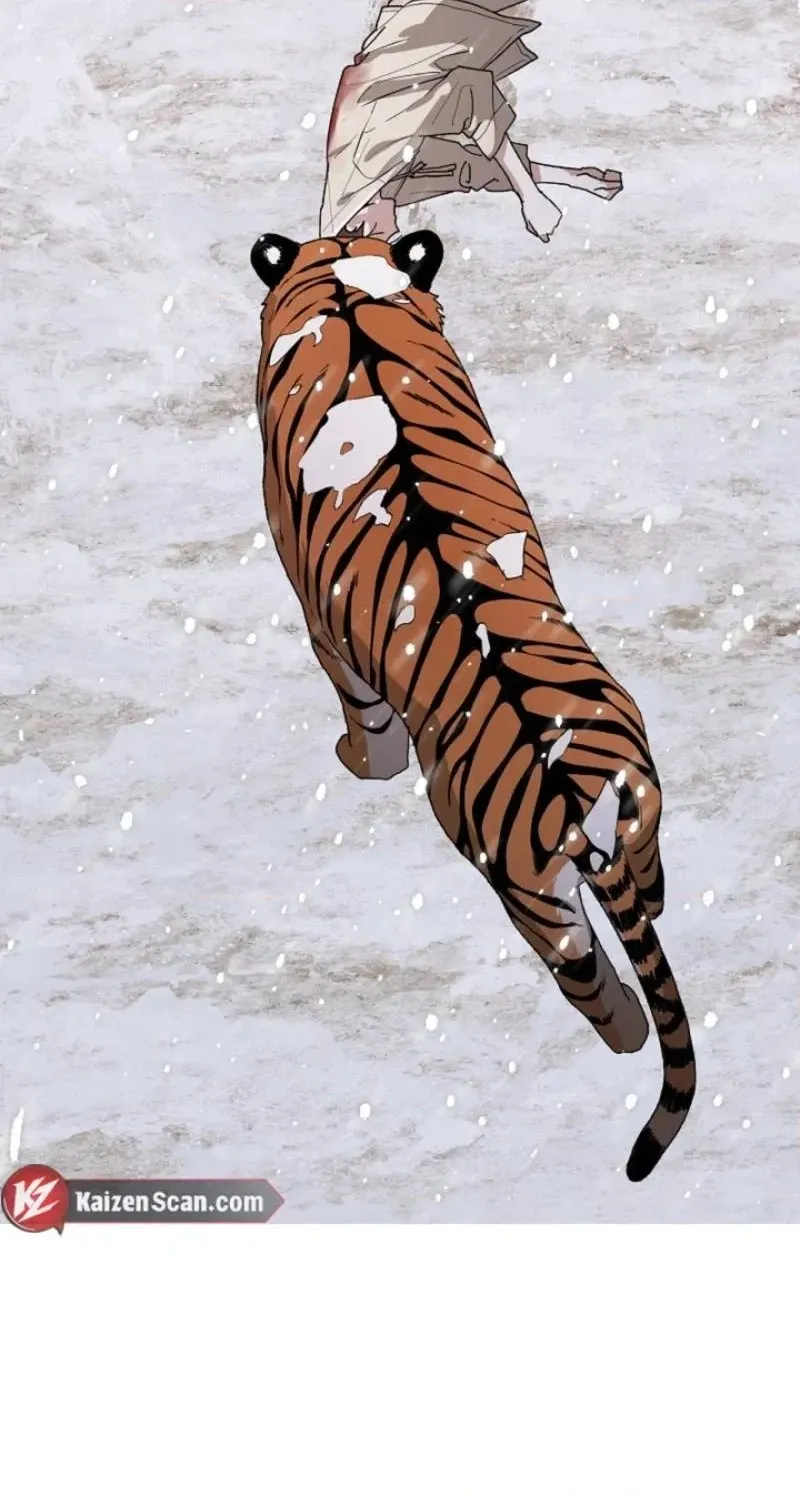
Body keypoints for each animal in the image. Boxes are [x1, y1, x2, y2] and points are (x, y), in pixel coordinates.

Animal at [250, 227, 697, 1183]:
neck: (345, 292)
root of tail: (578, 800)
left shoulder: (315, 607)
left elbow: (361, 714)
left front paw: (358, 763)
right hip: (640, 793)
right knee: (651, 890)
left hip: (523, 888)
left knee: (594, 987)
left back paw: (624, 1036)